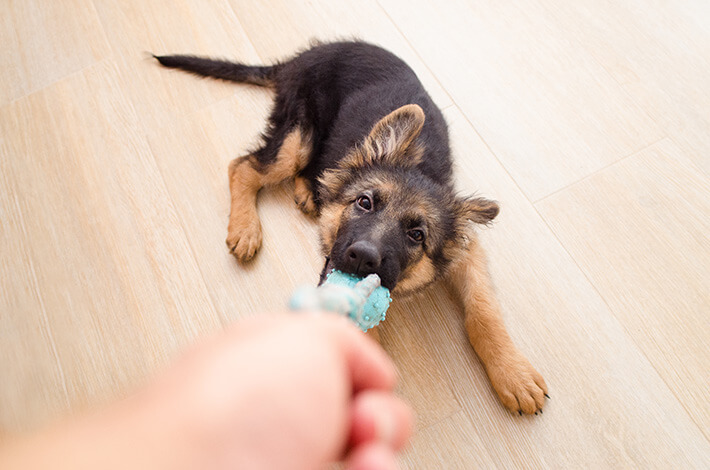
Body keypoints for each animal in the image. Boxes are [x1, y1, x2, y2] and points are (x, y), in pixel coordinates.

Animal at [154, 41, 552, 414]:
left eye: (417, 235)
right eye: (364, 203)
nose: (362, 257)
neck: (421, 168)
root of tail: (306, 55)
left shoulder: (466, 251)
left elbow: (484, 311)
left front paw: (513, 373)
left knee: (313, 168)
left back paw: (308, 192)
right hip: (299, 136)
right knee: (245, 166)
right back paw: (246, 227)